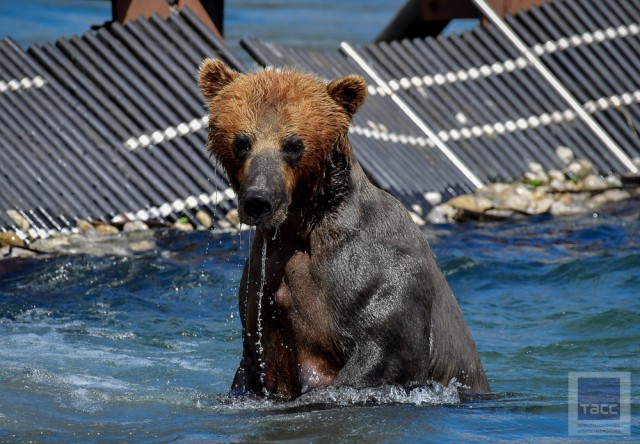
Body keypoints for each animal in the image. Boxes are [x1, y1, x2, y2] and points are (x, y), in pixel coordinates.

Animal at [198, 58, 488, 398]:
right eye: (242, 141)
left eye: (293, 144)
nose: (259, 200)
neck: (300, 228)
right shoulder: (261, 292)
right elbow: (254, 365)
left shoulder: (375, 275)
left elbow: (383, 354)